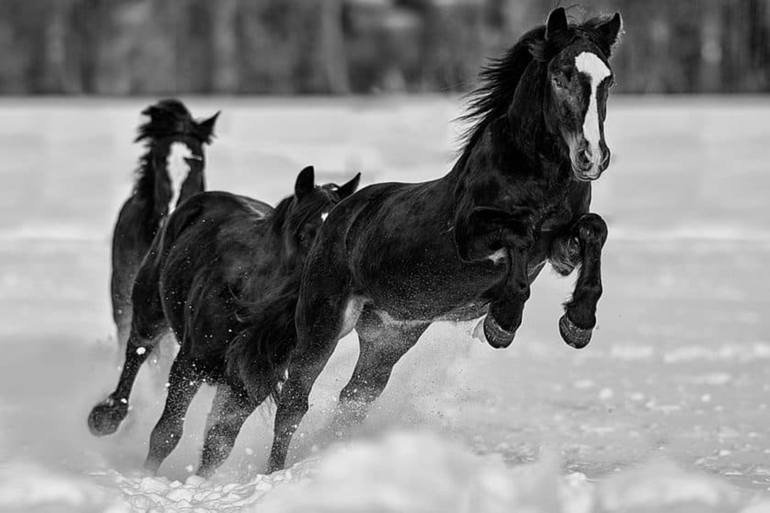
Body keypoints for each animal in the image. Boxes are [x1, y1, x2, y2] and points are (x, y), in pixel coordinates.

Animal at [88, 166, 360, 478]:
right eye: (305, 234)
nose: (328, 287)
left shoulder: (248, 386)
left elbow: (219, 443)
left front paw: (199, 482)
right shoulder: (190, 364)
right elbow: (167, 432)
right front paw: (147, 475)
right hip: (150, 307)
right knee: (137, 350)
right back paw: (106, 416)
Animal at [268, 9, 620, 472]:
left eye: (608, 79)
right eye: (561, 74)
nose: (592, 158)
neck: (535, 176)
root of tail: (337, 216)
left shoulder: (560, 246)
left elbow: (594, 228)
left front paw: (578, 323)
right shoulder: (471, 238)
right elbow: (518, 235)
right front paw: (501, 323)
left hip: (389, 336)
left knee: (354, 397)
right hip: (324, 322)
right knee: (294, 401)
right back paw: (273, 472)